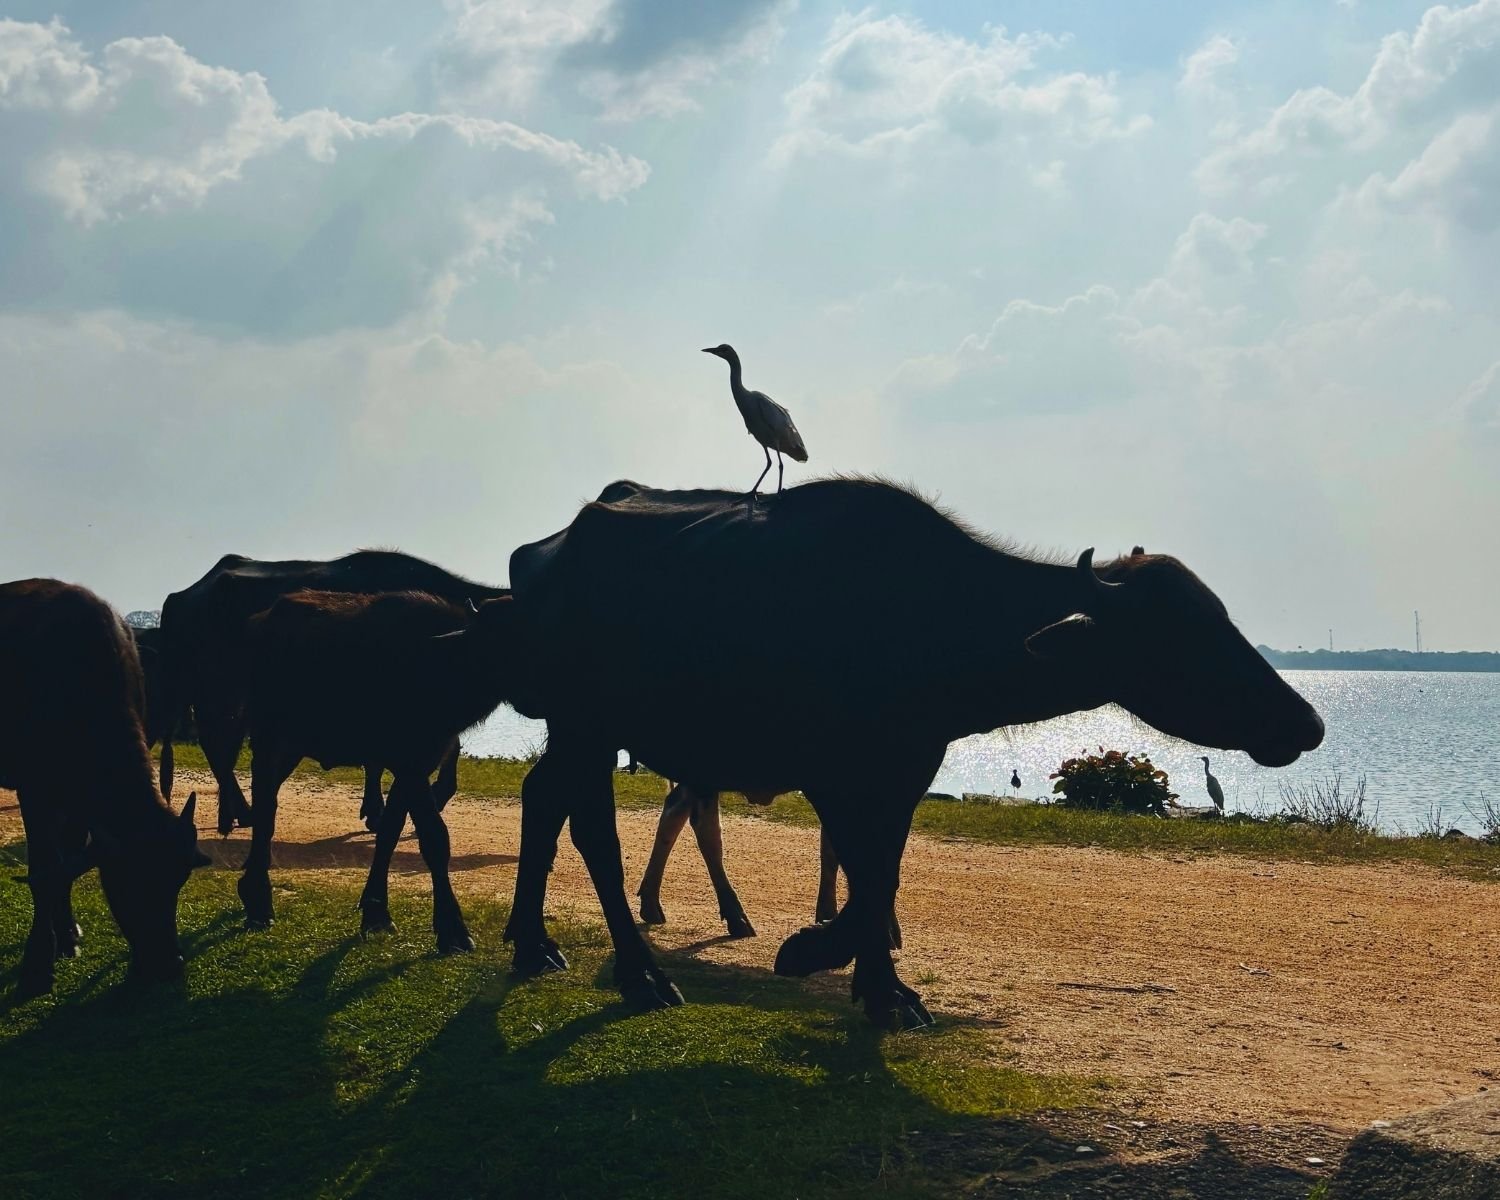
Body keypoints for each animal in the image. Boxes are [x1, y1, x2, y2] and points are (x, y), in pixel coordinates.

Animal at [1, 579, 209, 996]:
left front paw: (66, 934)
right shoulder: (35, 789)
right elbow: (45, 868)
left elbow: (67, 859)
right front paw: (37, 965)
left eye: (177, 882)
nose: (169, 964)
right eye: (130, 882)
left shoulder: (81, 799)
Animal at [156, 551, 506, 834]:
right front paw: (385, 810)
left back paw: (234, 813)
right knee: (217, 744)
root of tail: (180, 598)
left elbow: (447, 745)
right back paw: (243, 812)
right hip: (216, 688)